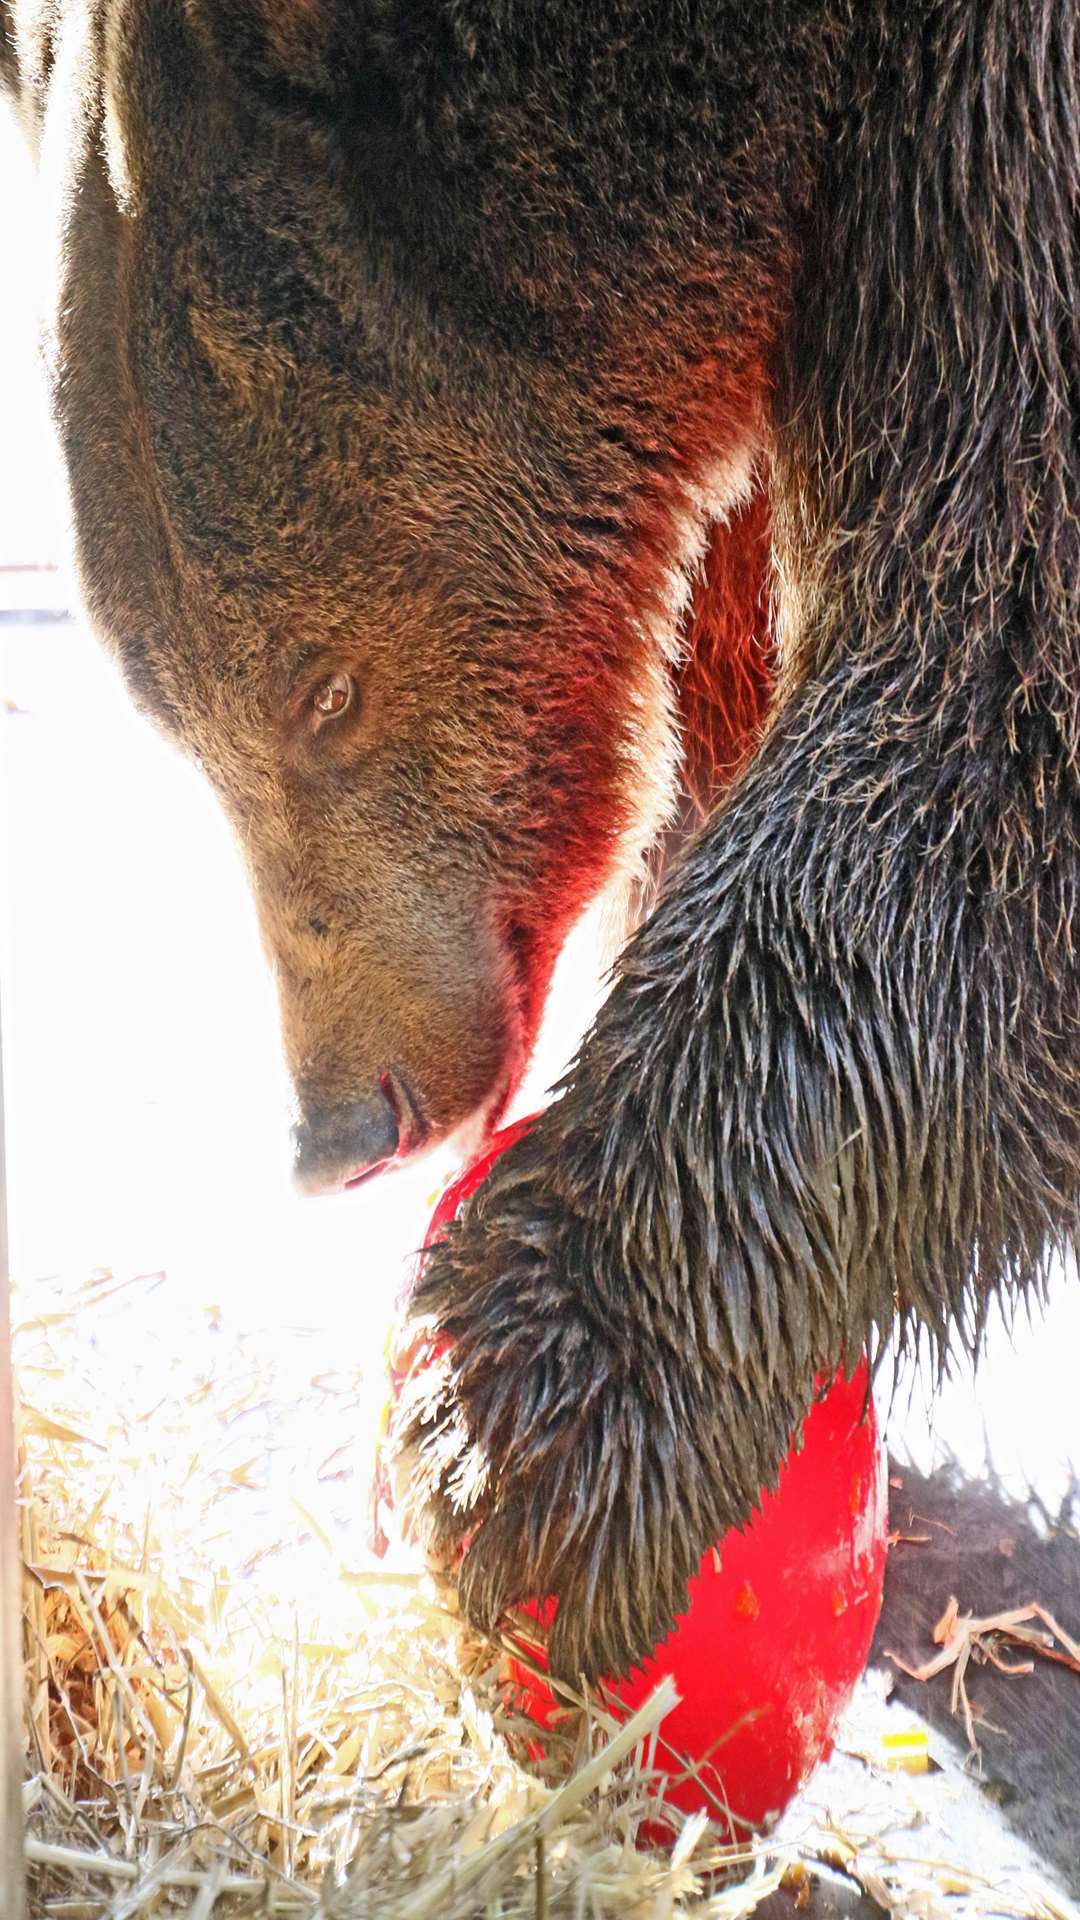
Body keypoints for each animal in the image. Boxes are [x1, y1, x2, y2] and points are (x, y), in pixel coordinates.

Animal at [4, 0, 1068, 1681]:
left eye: (326, 693)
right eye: (181, 723)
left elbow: (989, 669)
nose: (340, 1126)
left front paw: (526, 1415)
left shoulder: (996, 135)